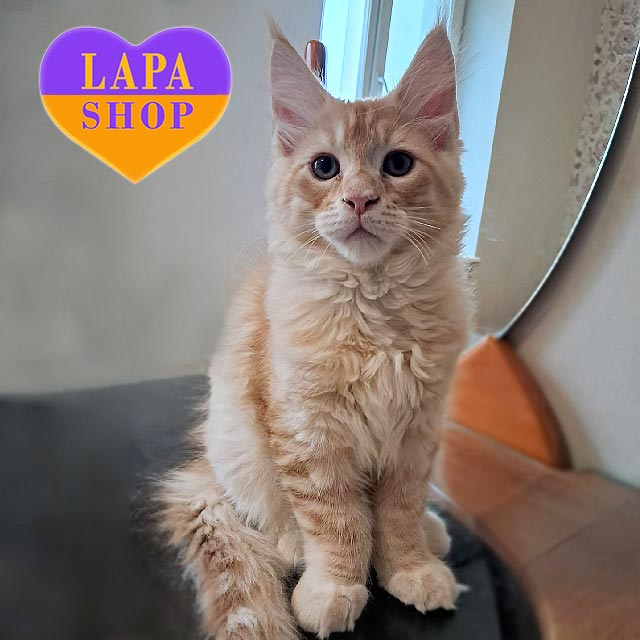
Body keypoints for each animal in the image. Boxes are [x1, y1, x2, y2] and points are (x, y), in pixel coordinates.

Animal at [157, 20, 469, 640]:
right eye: (325, 168)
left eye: (398, 165)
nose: (360, 199)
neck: (375, 312)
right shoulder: (308, 433)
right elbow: (338, 521)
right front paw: (335, 588)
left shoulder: (416, 435)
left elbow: (397, 515)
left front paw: (412, 568)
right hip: (236, 445)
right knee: (264, 514)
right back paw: (290, 547)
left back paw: (433, 532)